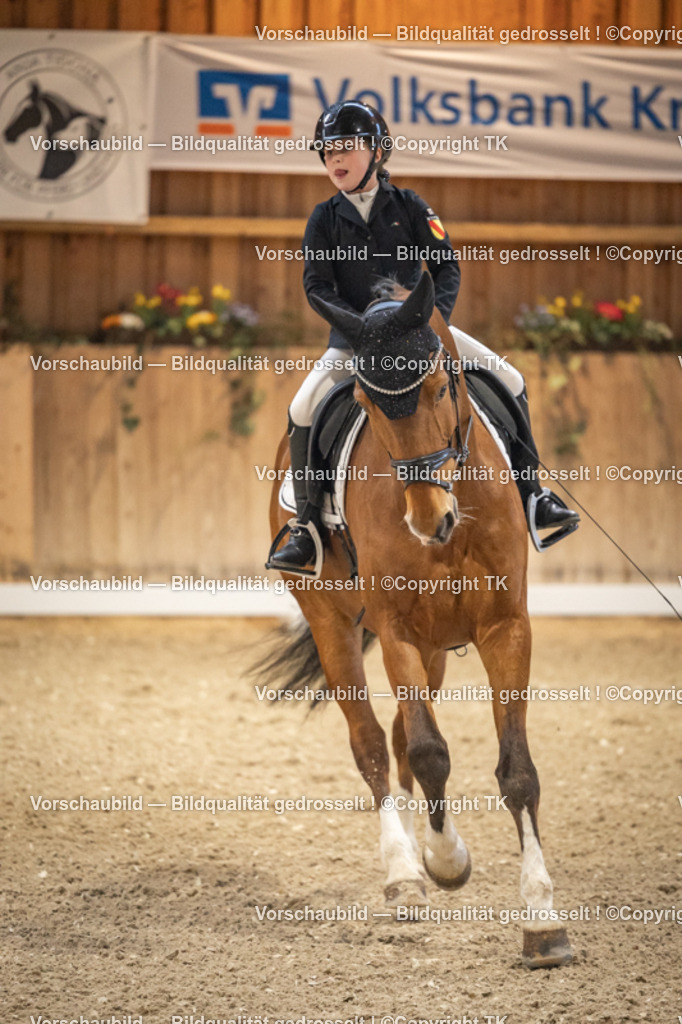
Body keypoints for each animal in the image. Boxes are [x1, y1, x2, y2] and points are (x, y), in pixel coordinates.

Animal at [259, 272, 572, 969]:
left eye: (440, 386)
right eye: (367, 405)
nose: (430, 520)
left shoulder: (506, 627)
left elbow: (517, 771)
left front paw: (543, 923)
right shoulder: (397, 627)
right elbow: (430, 754)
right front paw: (446, 863)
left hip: (434, 648)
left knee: (403, 734)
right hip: (335, 624)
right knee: (375, 744)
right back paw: (405, 872)